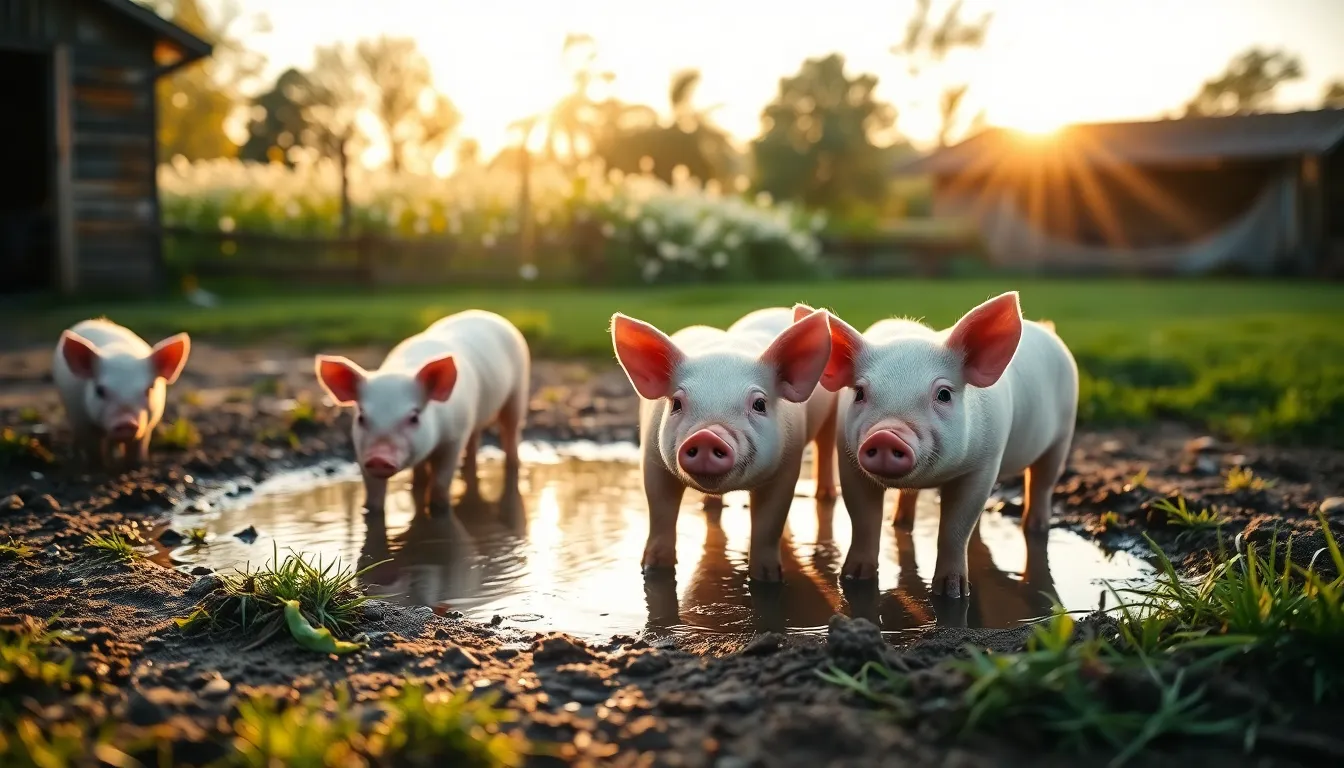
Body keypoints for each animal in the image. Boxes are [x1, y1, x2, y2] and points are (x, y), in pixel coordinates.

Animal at [53, 319, 192, 469]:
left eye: (149, 389)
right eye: (99, 390)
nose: (126, 422)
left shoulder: (148, 426)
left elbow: (137, 448)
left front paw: (134, 467)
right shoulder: (81, 420)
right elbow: (94, 450)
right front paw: (98, 468)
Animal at [314, 310, 530, 516]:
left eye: (414, 417)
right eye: (361, 417)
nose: (379, 458)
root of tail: (487, 314)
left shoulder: (454, 438)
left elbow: (442, 481)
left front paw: (440, 509)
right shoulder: (361, 451)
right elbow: (374, 492)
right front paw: (369, 511)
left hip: (518, 390)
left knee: (510, 429)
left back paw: (513, 465)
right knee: (473, 439)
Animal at [610, 307, 833, 581]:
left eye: (759, 404)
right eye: (676, 403)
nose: (707, 435)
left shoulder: (787, 465)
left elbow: (769, 522)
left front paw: (768, 578)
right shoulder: (652, 460)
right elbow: (660, 511)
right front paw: (652, 570)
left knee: (826, 446)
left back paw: (826, 496)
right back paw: (710, 506)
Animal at [818, 292, 1078, 598]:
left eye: (943, 394)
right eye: (859, 393)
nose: (885, 435)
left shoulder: (984, 464)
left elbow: (955, 527)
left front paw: (952, 593)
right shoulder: (848, 461)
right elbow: (863, 520)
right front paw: (853, 579)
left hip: (1063, 434)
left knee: (1042, 483)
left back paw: (1036, 529)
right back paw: (900, 522)